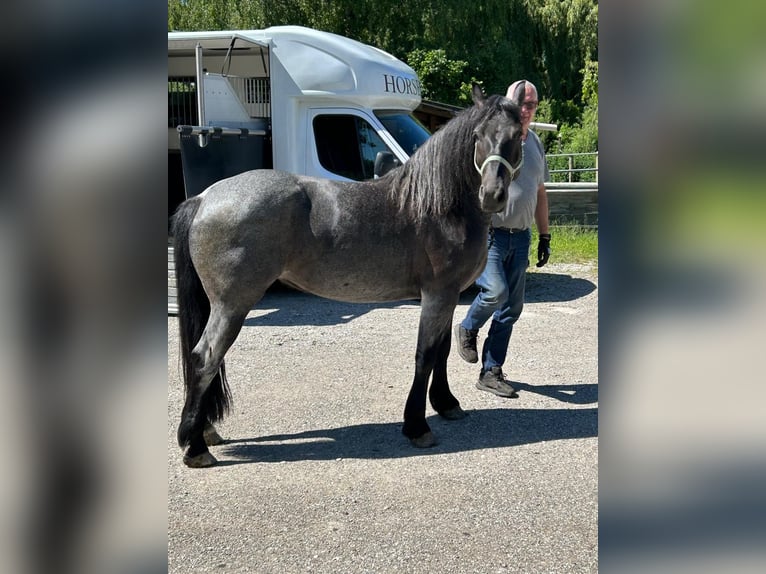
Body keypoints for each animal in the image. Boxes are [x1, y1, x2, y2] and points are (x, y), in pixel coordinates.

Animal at [172, 84, 524, 467]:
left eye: (517, 135)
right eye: (477, 136)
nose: (492, 195)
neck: (438, 205)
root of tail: (205, 198)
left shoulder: (448, 296)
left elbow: (442, 350)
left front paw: (446, 404)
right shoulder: (438, 295)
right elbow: (426, 355)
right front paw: (417, 426)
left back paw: (205, 431)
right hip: (232, 306)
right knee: (204, 358)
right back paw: (195, 447)